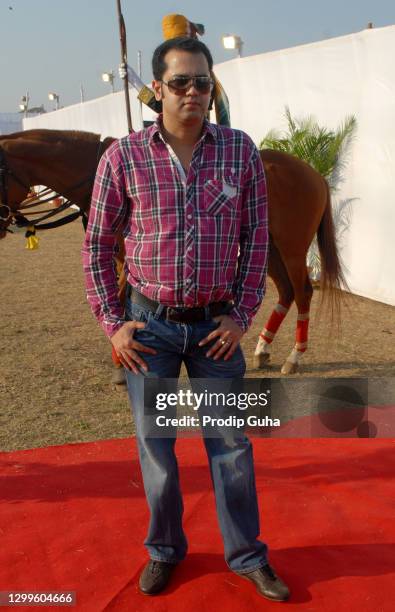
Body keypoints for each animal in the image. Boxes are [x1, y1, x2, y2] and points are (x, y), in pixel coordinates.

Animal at [0, 130, 346, 372]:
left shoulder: (131, 261)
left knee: (302, 292)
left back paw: (294, 356)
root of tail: (313, 173)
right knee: (286, 292)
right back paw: (263, 349)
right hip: (267, 249)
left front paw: (122, 364)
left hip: (291, 248)